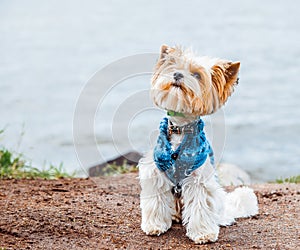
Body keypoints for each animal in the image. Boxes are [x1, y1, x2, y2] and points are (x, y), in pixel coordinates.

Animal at [138, 45, 258, 244]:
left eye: (196, 75)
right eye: (174, 67)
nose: (177, 74)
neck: (180, 129)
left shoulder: (199, 179)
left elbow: (200, 206)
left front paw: (203, 233)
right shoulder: (155, 172)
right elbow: (156, 201)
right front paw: (155, 225)